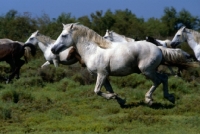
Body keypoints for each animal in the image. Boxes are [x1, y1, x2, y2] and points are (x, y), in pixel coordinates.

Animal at [50, 23, 196, 105]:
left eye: (63, 35)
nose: (53, 49)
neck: (93, 50)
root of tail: (158, 48)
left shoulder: (101, 74)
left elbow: (97, 91)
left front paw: (115, 97)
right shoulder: (104, 76)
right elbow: (107, 89)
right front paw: (119, 100)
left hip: (146, 70)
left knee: (158, 80)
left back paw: (149, 99)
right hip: (150, 70)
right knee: (164, 78)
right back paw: (169, 98)